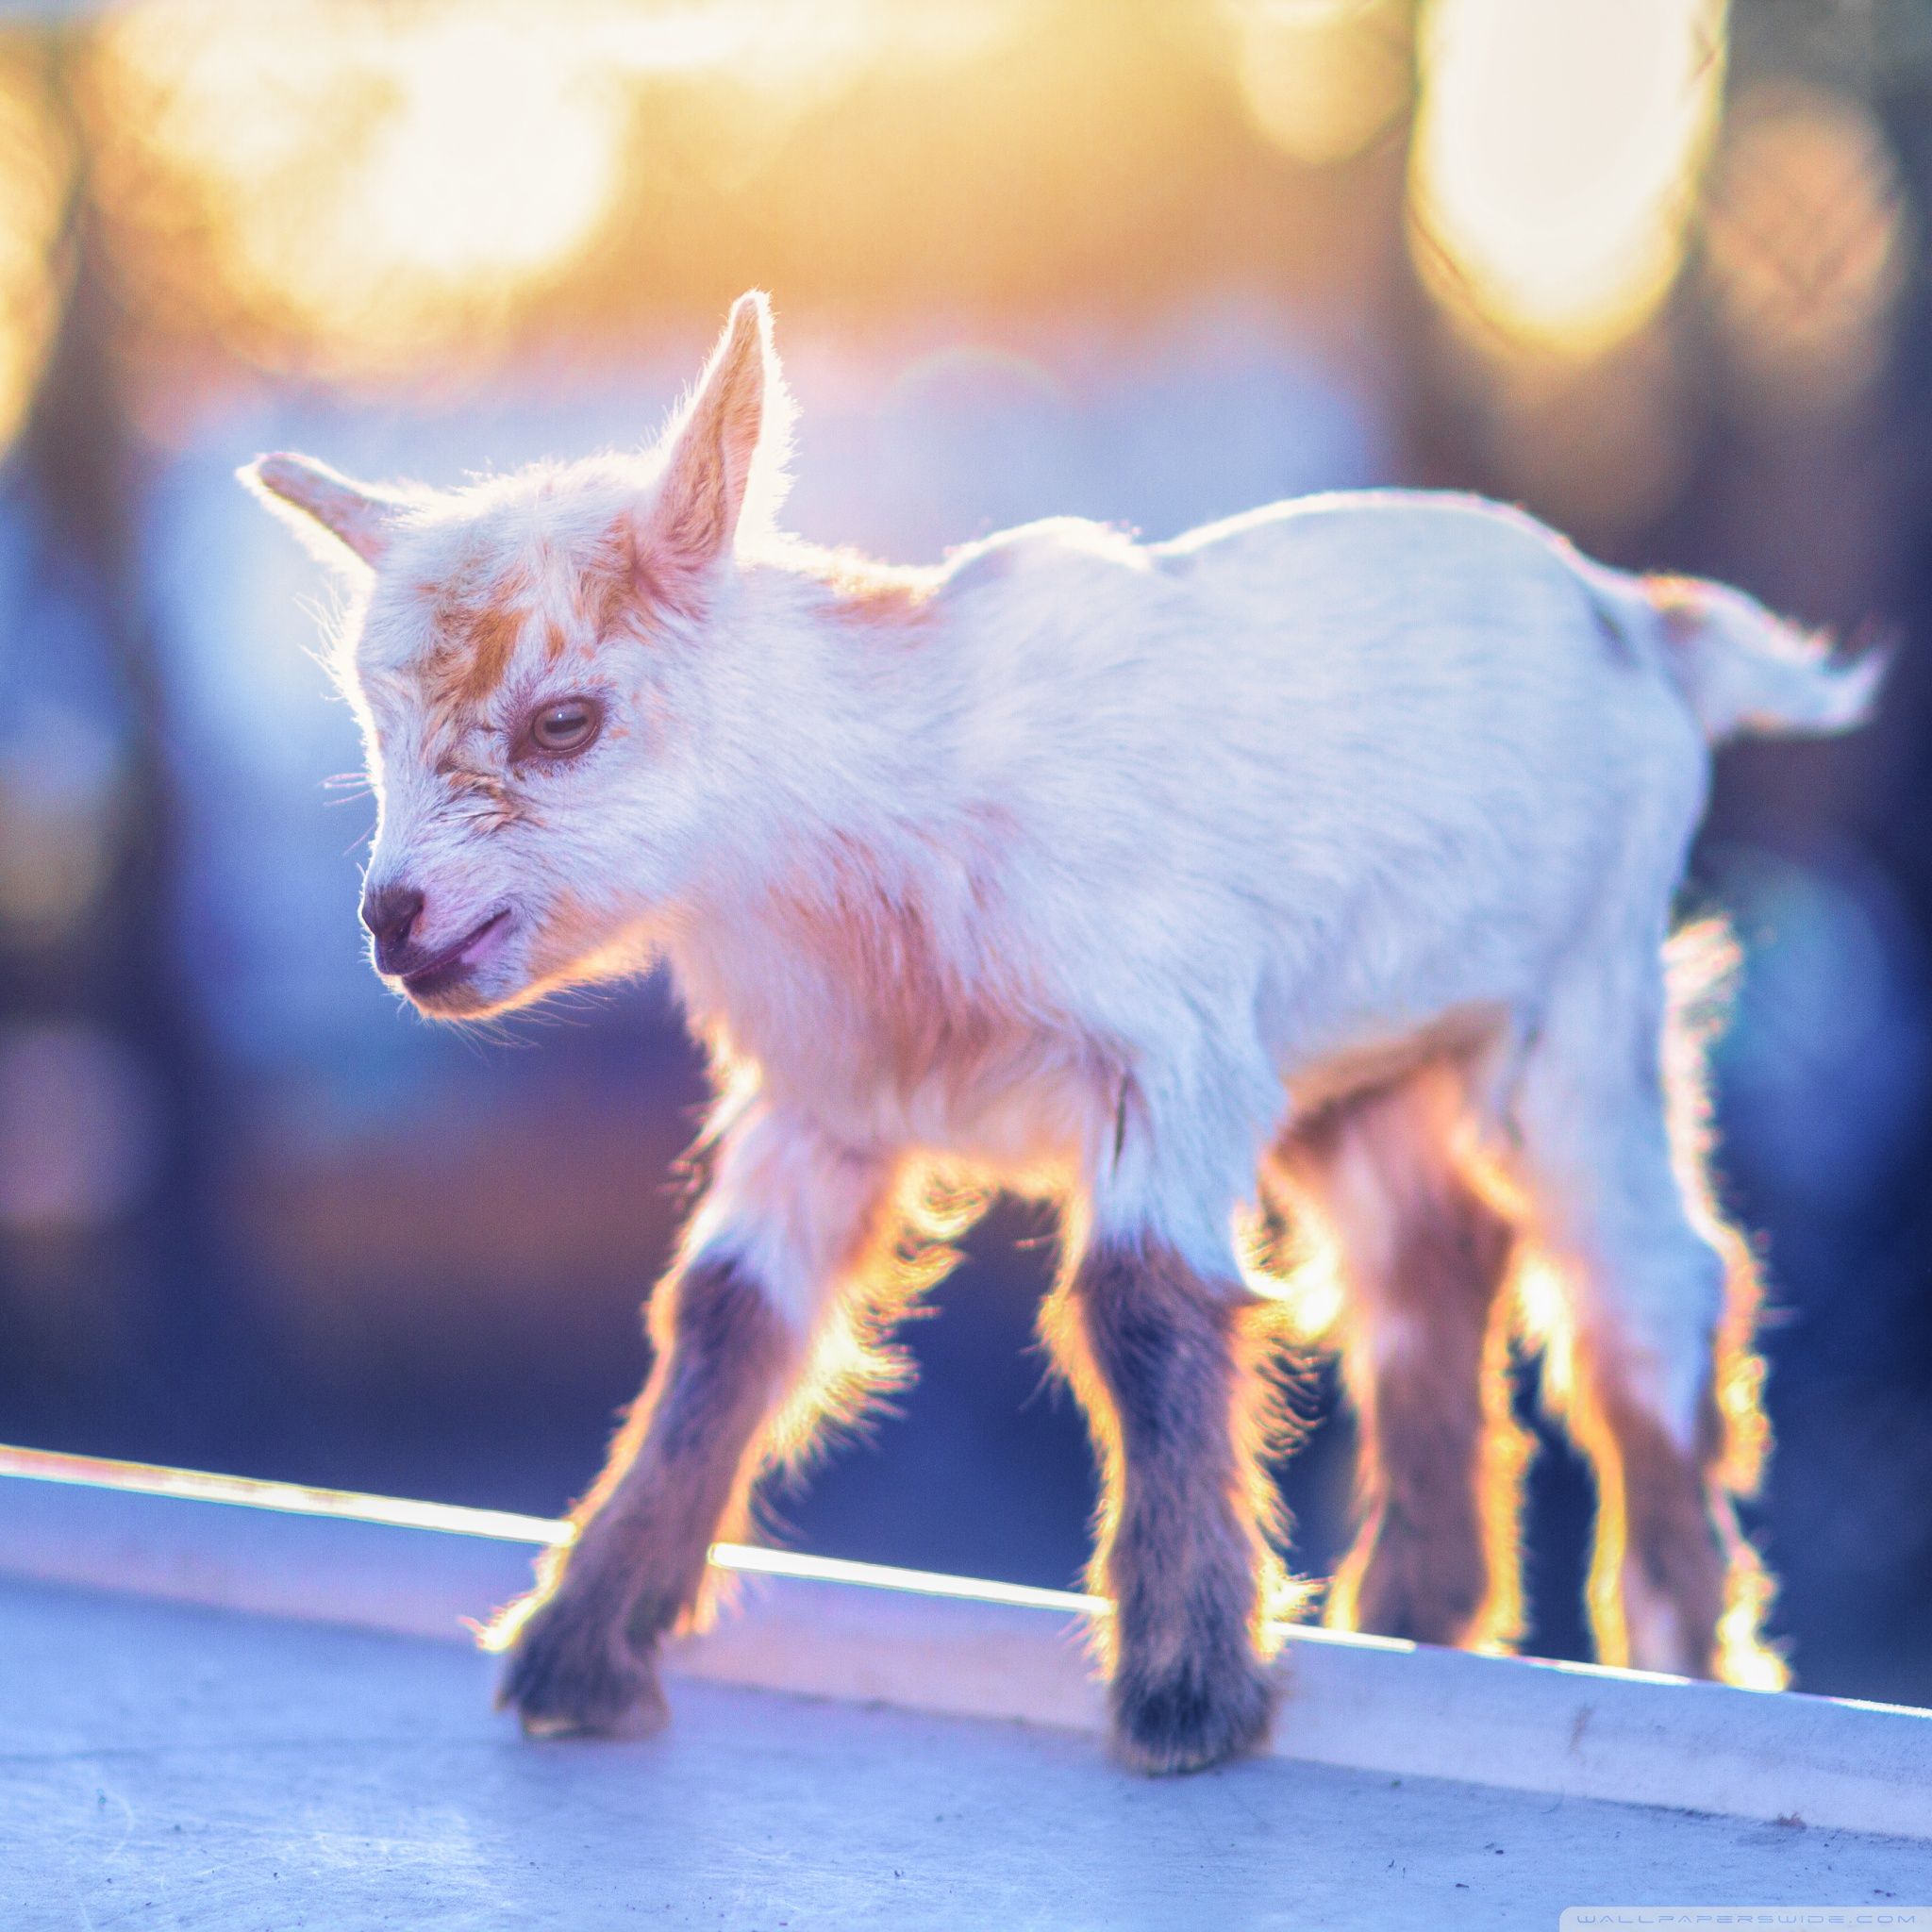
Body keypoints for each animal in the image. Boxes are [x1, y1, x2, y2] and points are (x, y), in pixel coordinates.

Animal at [243, 292, 1880, 1773]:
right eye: (377, 730)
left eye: (565, 723)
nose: (397, 922)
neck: (889, 804)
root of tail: (1641, 619)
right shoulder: (825, 1104)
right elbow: (728, 1320)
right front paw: (580, 1650)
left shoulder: (1170, 1055)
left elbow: (1143, 1307)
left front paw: (1189, 1691)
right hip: (1357, 1061)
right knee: (1428, 1265)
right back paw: (1421, 1613)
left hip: (1575, 1005)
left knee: (1645, 1291)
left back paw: (1679, 1652)